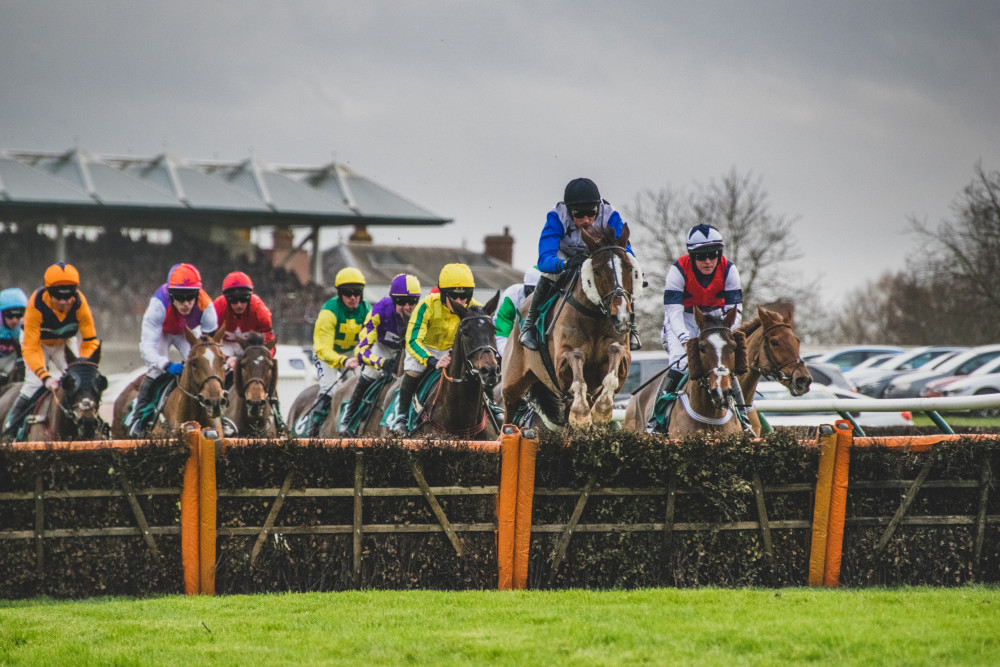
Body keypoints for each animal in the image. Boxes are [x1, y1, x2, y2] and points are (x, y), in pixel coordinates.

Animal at [500, 222, 640, 430]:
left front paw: (601, 411)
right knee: (509, 409)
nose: (621, 316)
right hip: (512, 382)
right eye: (596, 270)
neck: (595, 317)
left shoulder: (620, 357)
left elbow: (614, 362)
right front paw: (581, 415)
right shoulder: (562, 365)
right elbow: (576, 365)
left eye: (630, 268)